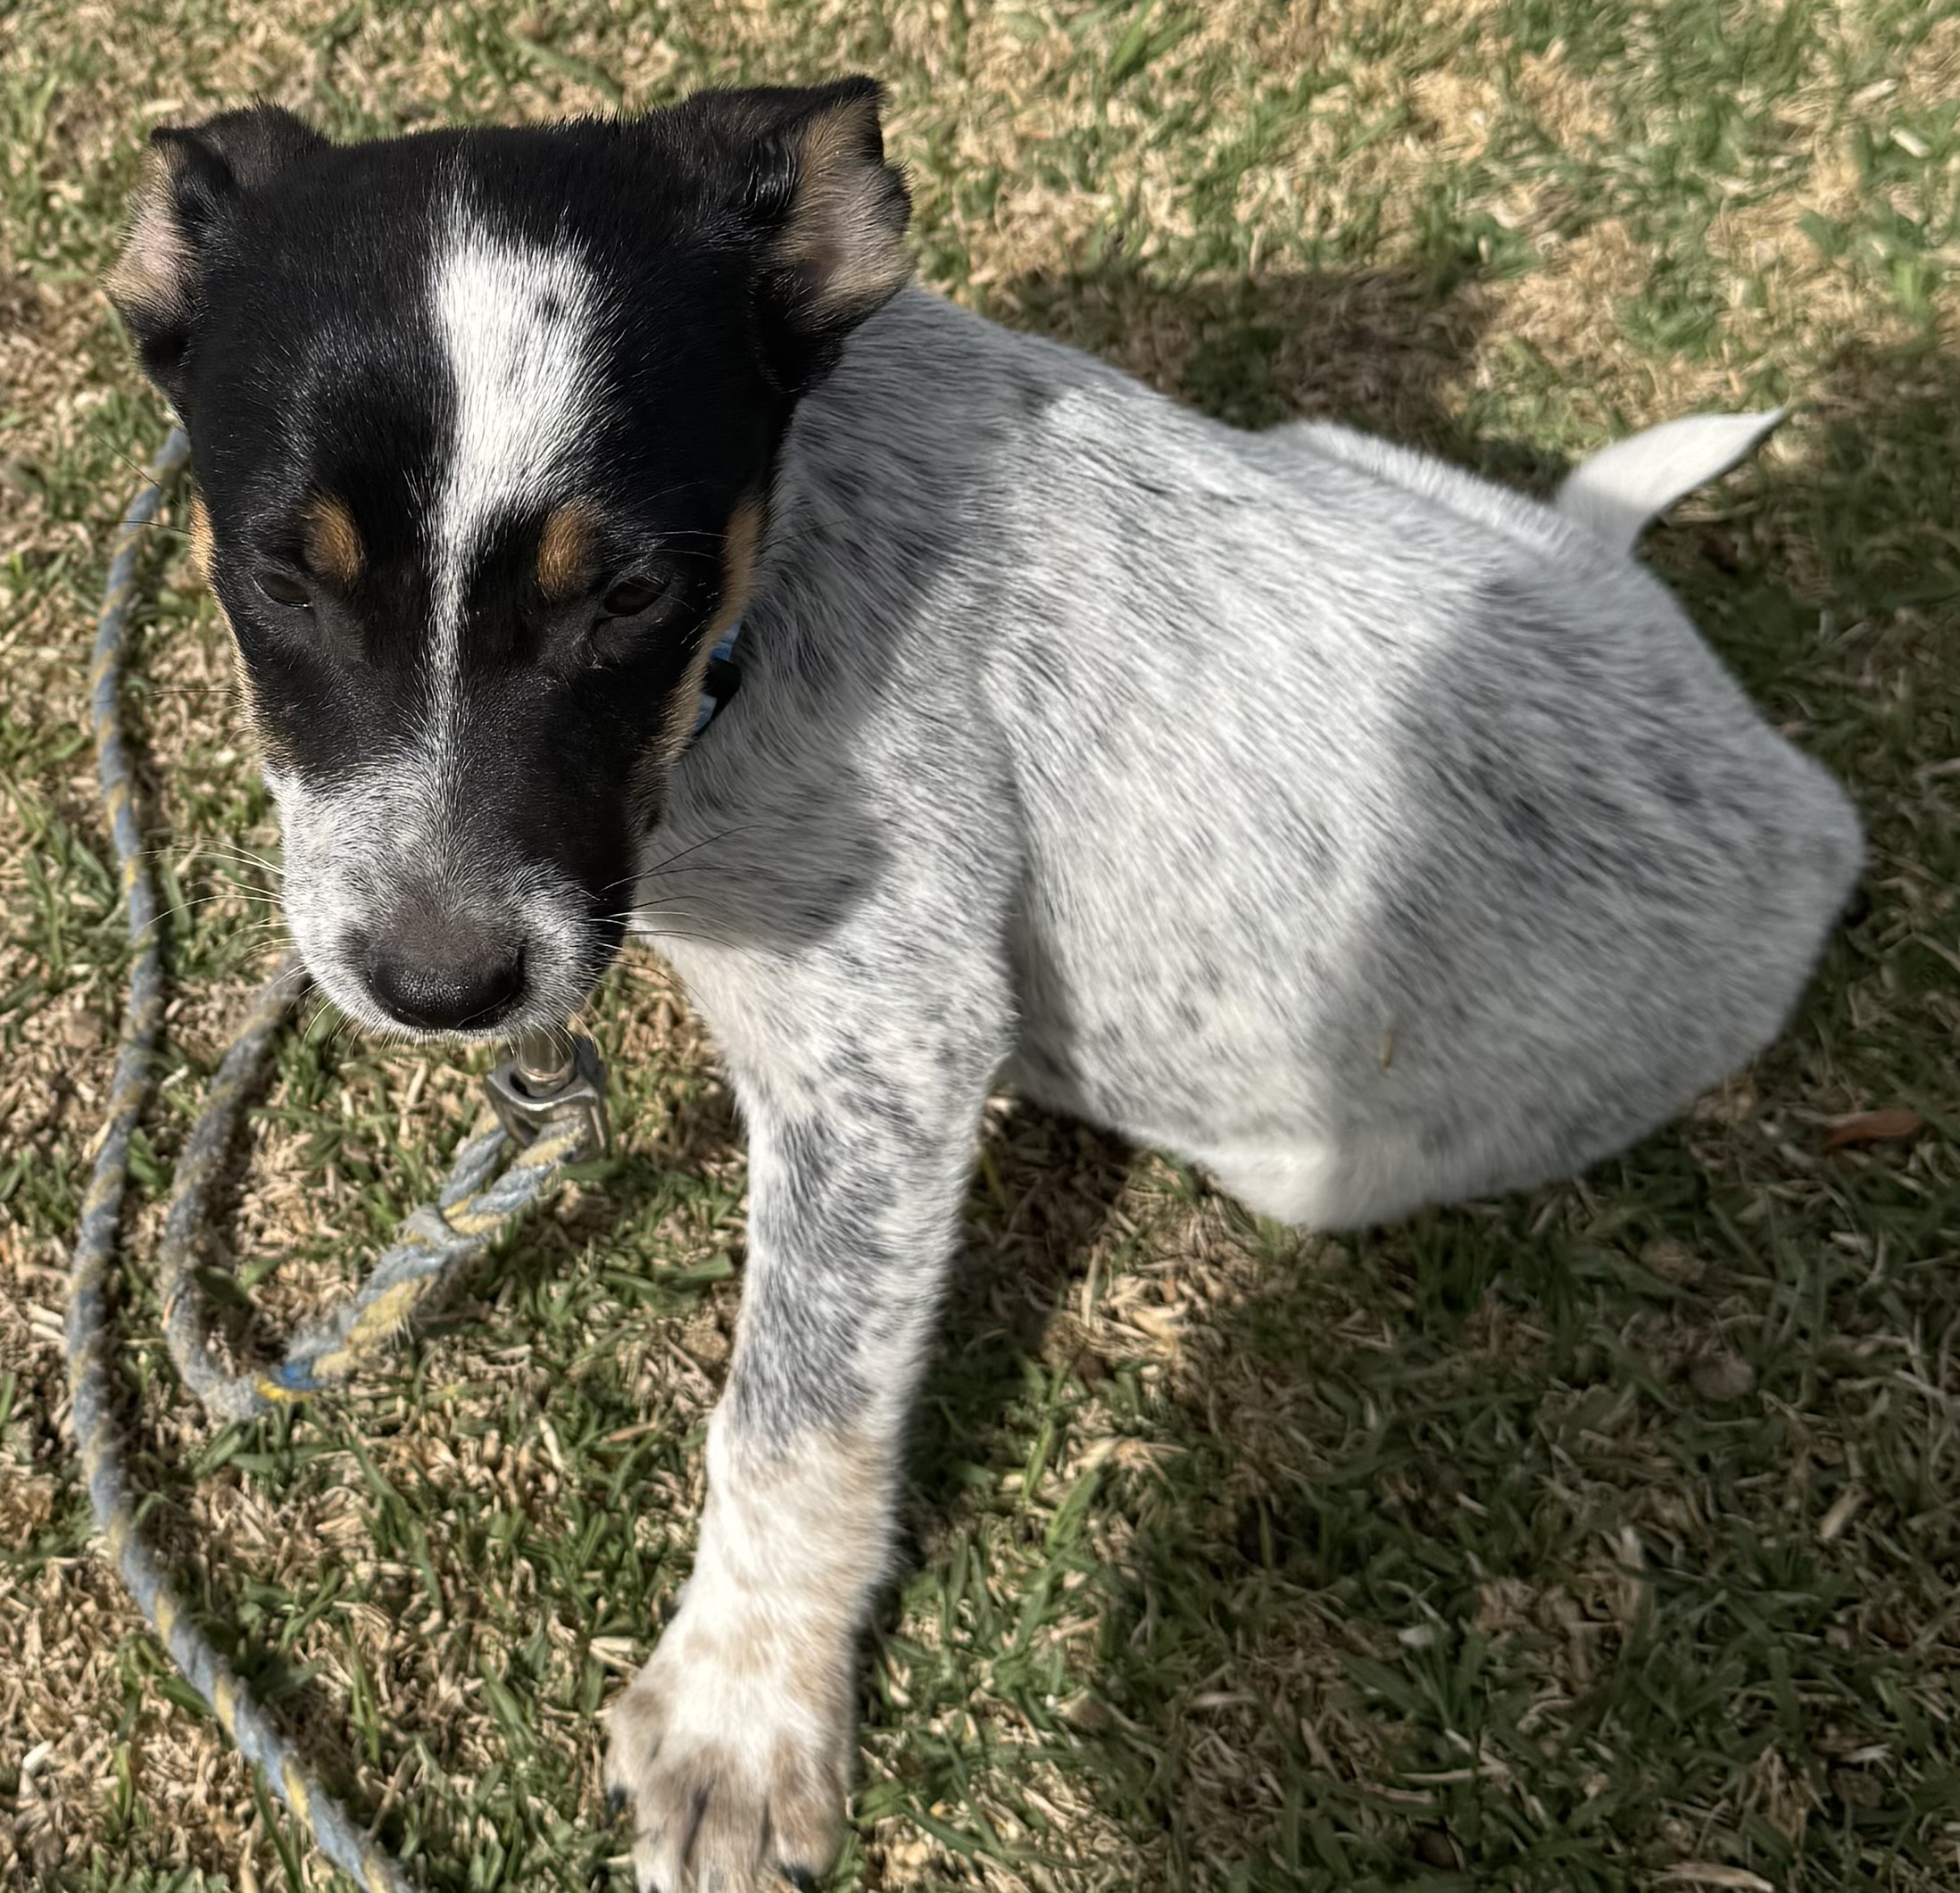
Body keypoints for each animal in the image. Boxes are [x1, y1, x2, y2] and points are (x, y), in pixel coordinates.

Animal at [108, 77, 1862, 1893]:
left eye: (633, 592)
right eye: (282, 576)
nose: (443, 987)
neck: (755, 622)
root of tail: (1812, 810)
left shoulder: (881, 1054)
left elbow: (793, 1416)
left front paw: (741, 1721)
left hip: (1322, 1164)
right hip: (1345, 452)